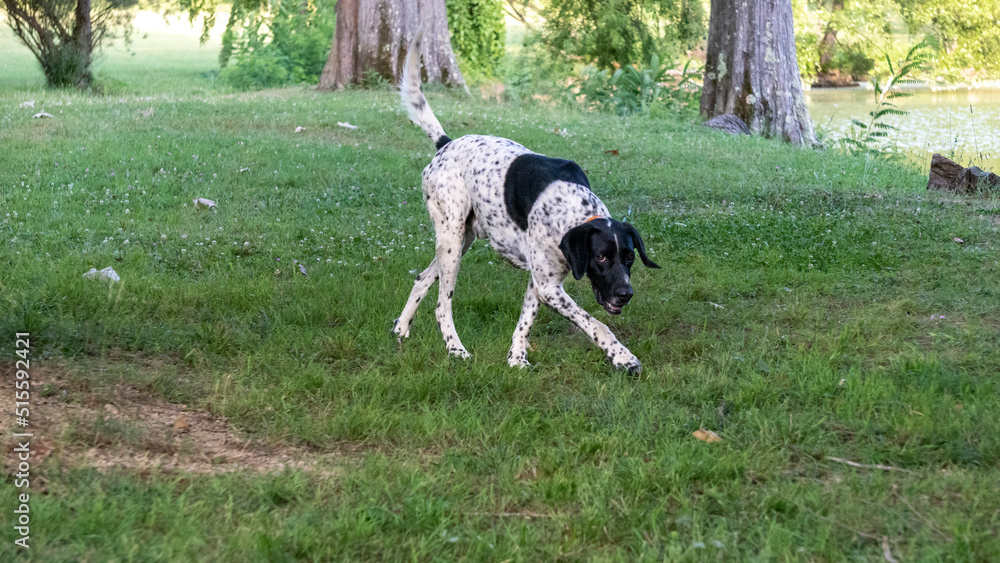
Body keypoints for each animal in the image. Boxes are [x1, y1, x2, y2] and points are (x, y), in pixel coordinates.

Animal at [394, 33, 660, 372]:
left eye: (629, 257)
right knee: (443, 305)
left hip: (461, 242)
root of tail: (446, 143)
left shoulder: (541, 281)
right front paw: (622, 356)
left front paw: (517, 357)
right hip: (452, 241)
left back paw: (402, 327)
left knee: (421, 279)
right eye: (601, 257)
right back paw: (455, 348)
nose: (626, 294)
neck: (572, 211)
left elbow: (525, 321)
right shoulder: (549, 287)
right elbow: (598, 325)